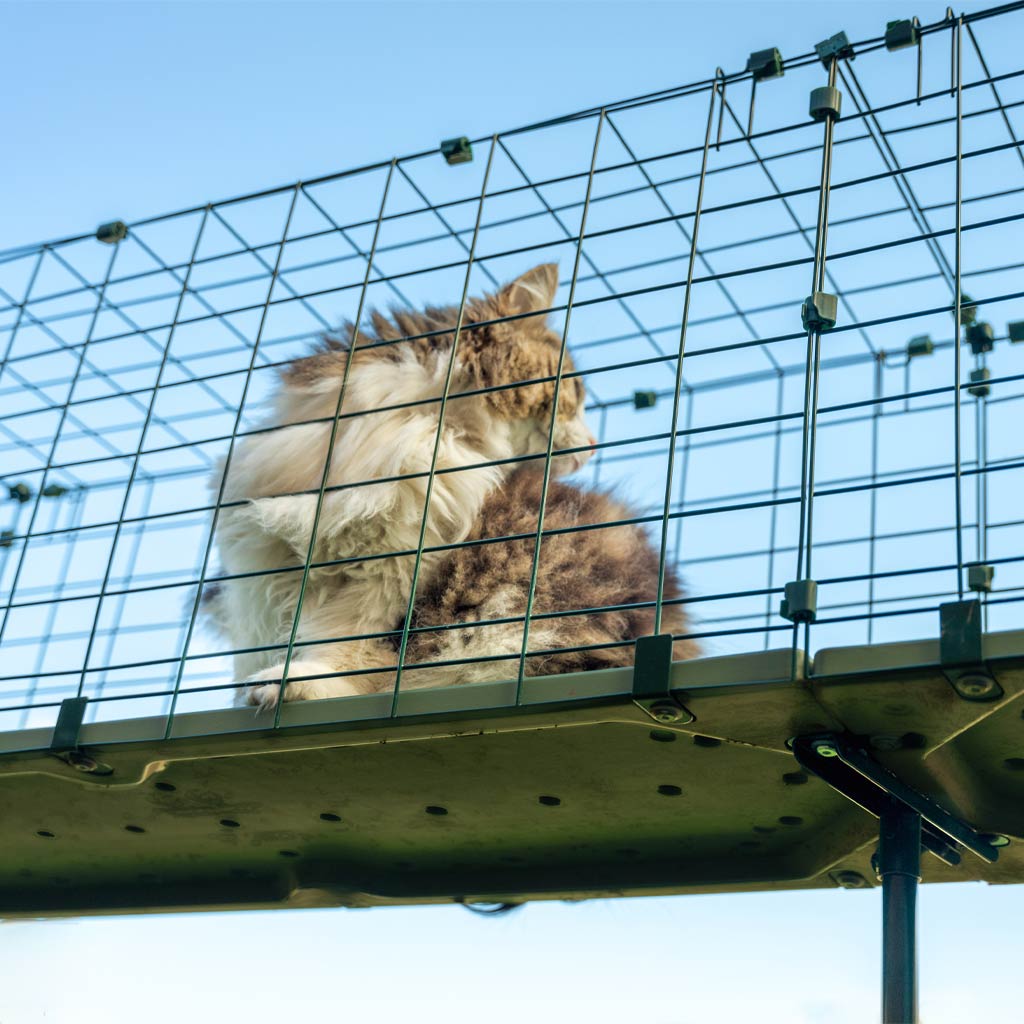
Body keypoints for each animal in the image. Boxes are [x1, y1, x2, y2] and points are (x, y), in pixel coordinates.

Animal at [199, 260, 696, 708]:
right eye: (574, 392)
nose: (593, 444)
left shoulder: (390, 569)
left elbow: (346, 642)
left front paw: (295, 682)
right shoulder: (272, 565)